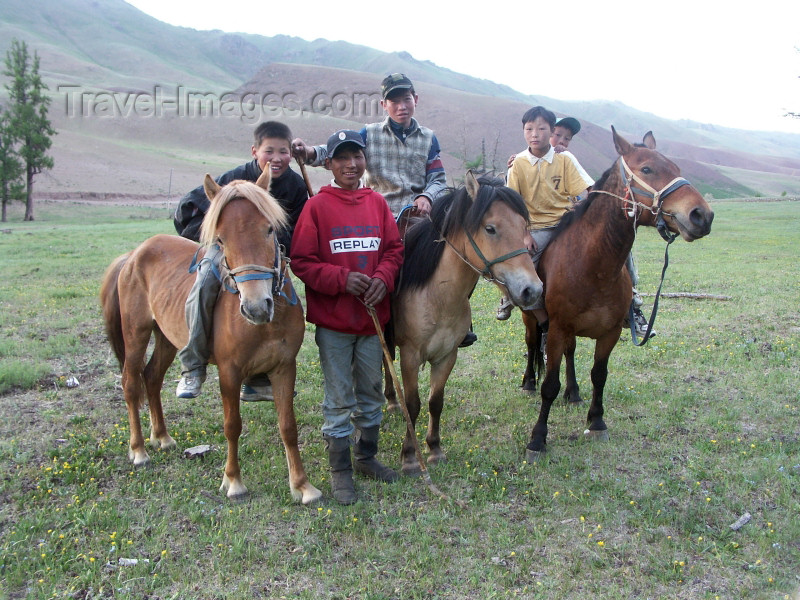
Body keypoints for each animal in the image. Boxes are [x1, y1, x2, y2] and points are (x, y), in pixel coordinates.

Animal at [101, 169, 322, 502]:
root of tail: (133, 255)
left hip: (167, 339)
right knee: (130, 383)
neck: (264, 325)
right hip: (136, 334)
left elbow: (288, 426)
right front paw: (233, 481)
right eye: (221, 239)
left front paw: (302, 485)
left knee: (151, 377)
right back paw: (139, 450)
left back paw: (162, 437)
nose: (256, 307)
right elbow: (232, 426)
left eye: (270, 229)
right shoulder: (230, 373)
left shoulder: (284, 368)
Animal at [390, 172, 540, 474]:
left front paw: (434, 449)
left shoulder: (448, 355)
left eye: (523, 226)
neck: (436, 296)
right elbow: (413, 405)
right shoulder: (410, 355)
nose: (533, 290)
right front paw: (410, 456)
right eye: (490, 228)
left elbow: (435, 402)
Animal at [520, 129, 716, 462]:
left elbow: (599, 375)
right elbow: (549, 385)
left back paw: (573, 393)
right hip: (531, 319)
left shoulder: (609, 332)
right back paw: (528, 383)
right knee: (533, 345)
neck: (594, 267)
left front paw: (596, 421)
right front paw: (537, 439)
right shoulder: (557, 328)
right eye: (647, 169)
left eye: (676, 168)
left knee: (570, 353)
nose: (702, 215)